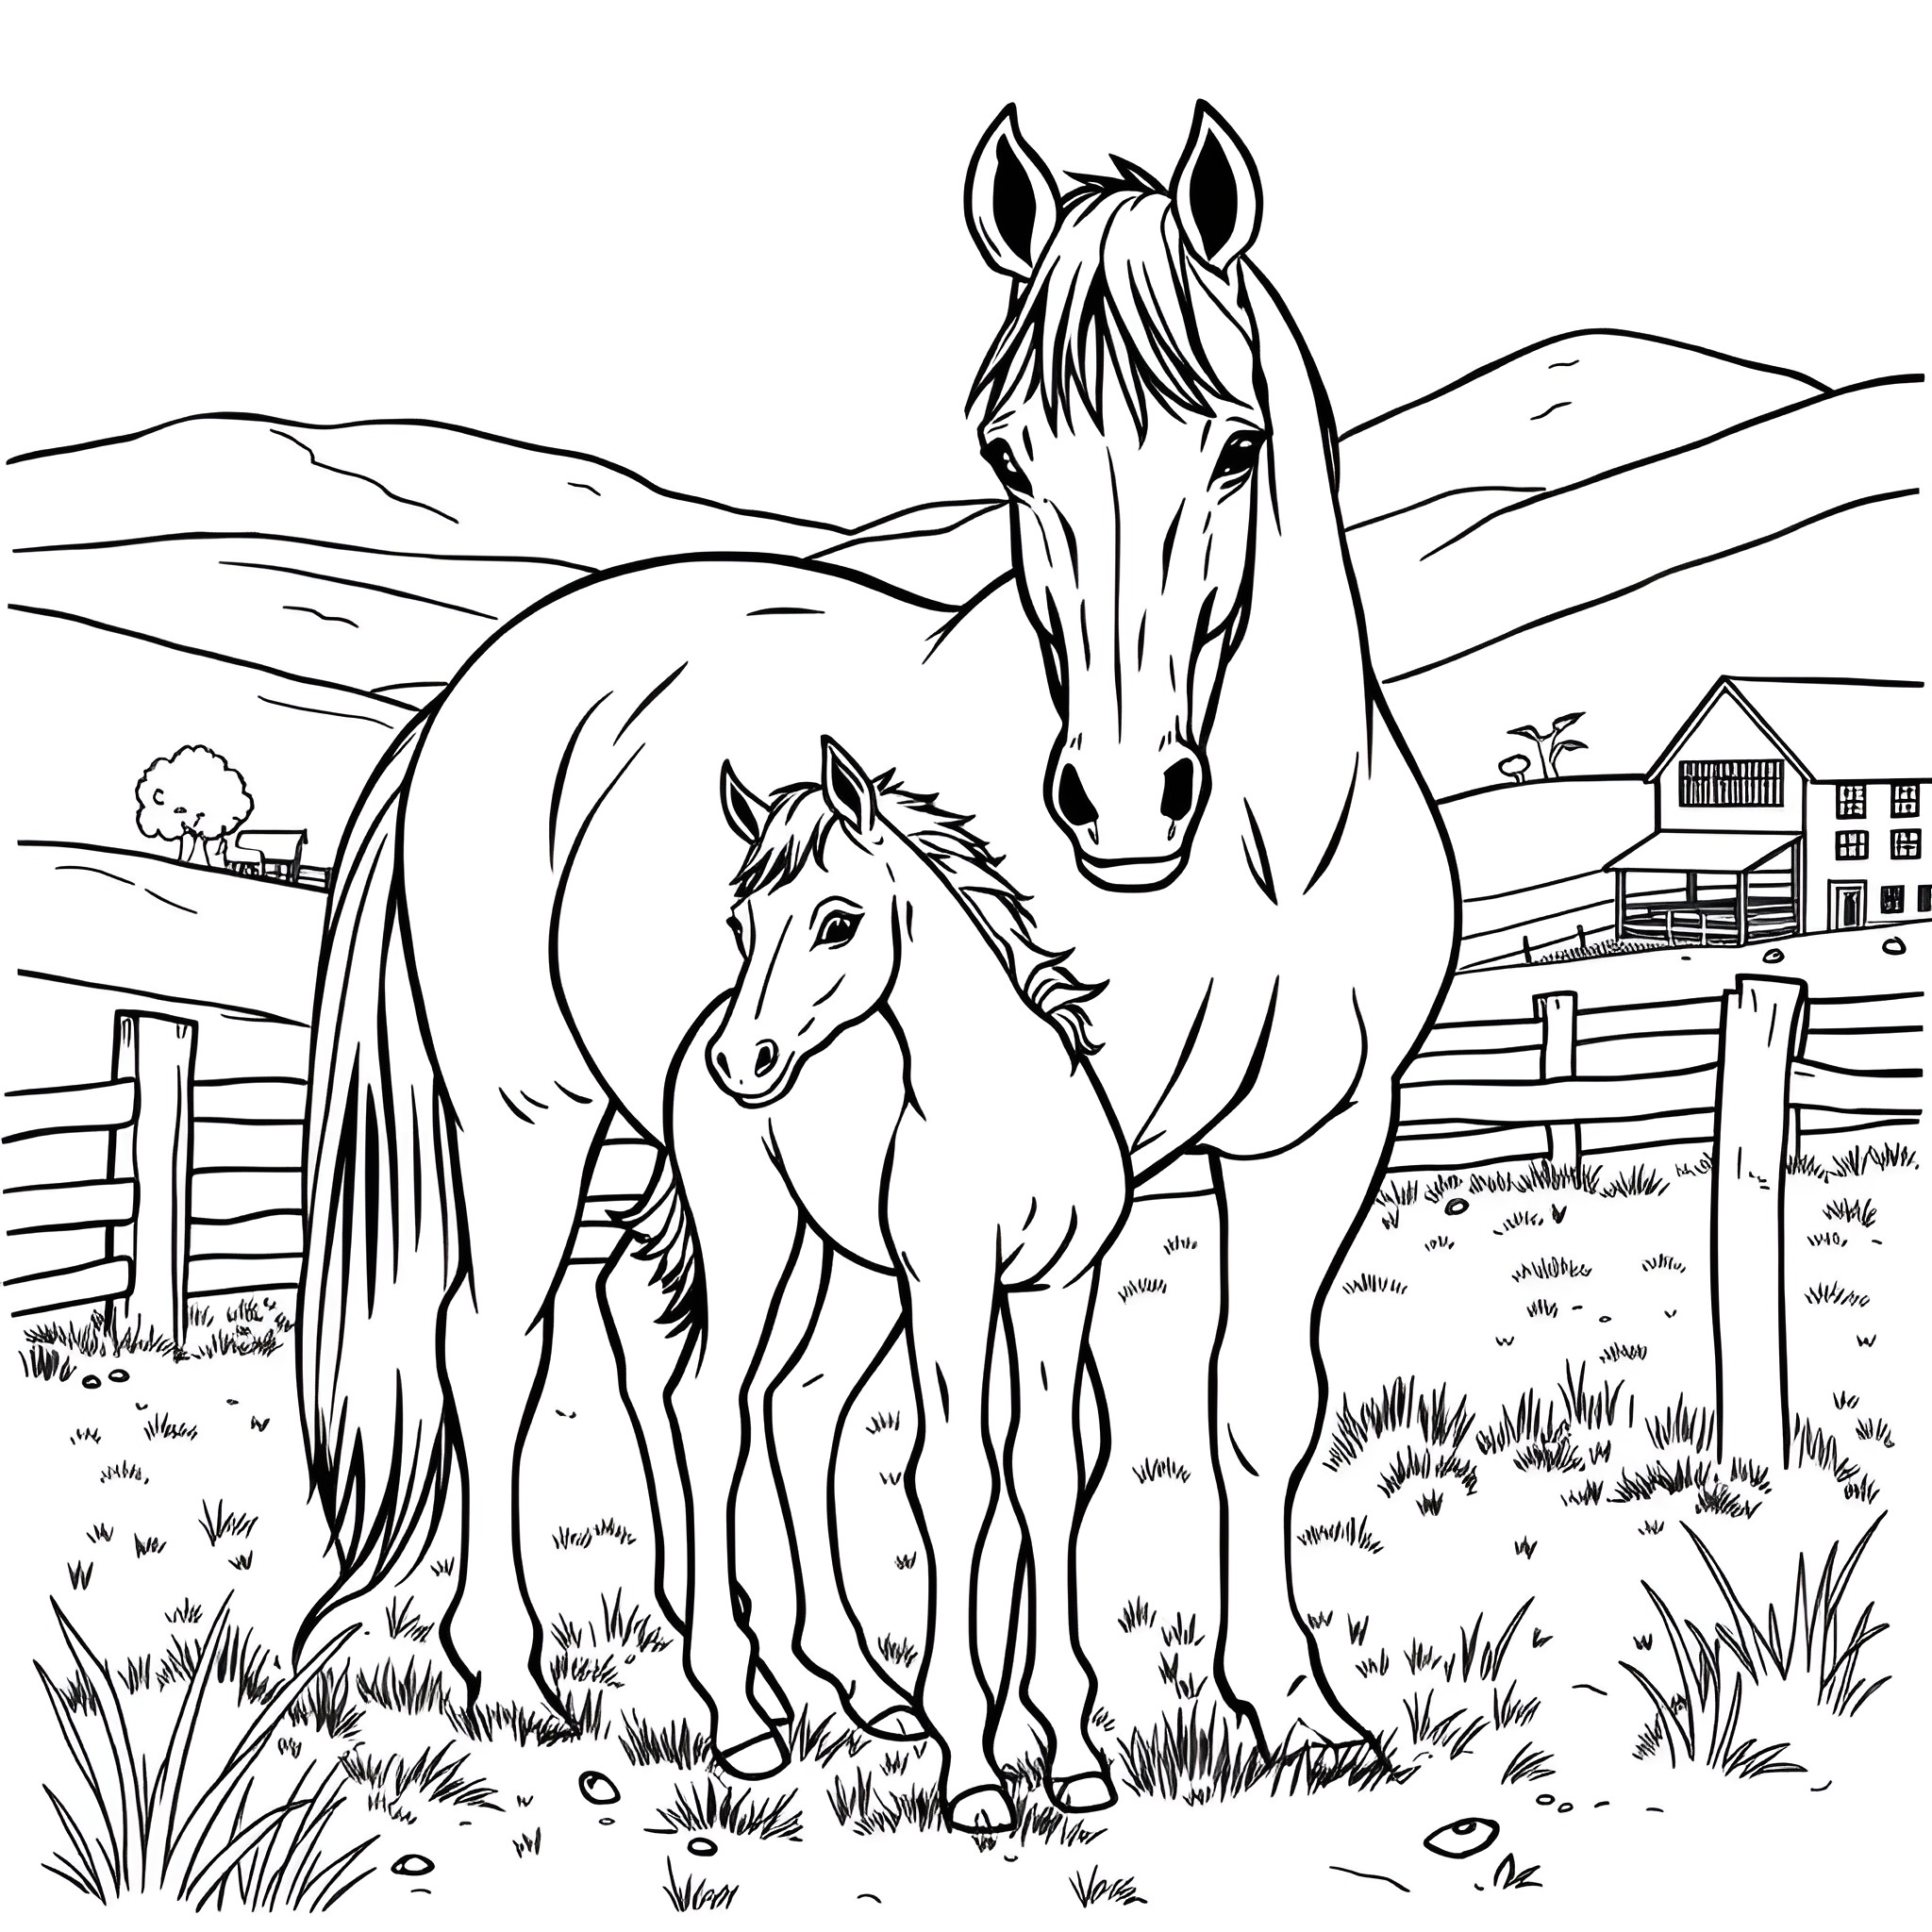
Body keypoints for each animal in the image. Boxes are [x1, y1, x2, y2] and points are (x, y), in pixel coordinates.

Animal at [635, 736, 1125, 1827]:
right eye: (739, 924)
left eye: (838, 920)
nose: (744, 1061)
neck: (1005, 1104)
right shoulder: (948, 1283)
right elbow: (951, 1476)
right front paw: (975, 1768)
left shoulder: (1056, 1287)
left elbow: (1047, 1472)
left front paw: (1071, 1756)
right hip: (756, 1240)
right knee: (710, 1401)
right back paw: (742, 1716)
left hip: (849, 1267)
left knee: (799, 1407)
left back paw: (860, 1691)